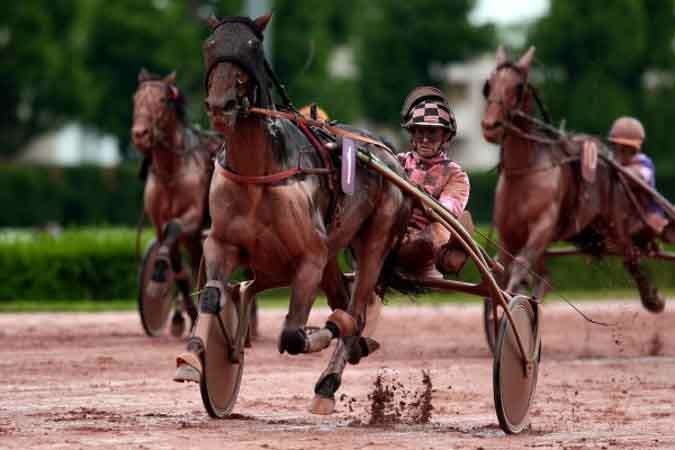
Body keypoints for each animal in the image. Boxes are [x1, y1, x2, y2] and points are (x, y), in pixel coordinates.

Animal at [133, 68, 223, 332]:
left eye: (162, 100)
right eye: (135, 99)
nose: (139, 134)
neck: (171, 173)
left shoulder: (192, 217)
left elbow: (174, 227)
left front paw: (159, 270)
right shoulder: (158, 223)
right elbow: (179, 270)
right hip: (193, 240)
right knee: (194, 264)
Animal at [173, 13, 412, 414]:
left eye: (253, 47)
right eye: (210, 45)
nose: (221, 105)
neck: (258, 172)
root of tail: (387, 153)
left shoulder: (309, 256)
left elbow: (294, 336)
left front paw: (333, 333)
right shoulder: (222, 243)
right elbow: (211, 296)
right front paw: (193, 359)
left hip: (375, 238)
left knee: (354, 308)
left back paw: (331, 377)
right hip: (328, 251)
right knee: (338, 299)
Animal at [480, 45, 664, 312]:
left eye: (518, 86)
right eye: (488, 84)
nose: (490, 126)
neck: (524, 172)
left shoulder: (542, 227)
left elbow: (520, 267)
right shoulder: (507, 234)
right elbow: (503, 271)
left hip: (617, 225)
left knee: (631, 258)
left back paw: (653, 299)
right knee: (545, 275)